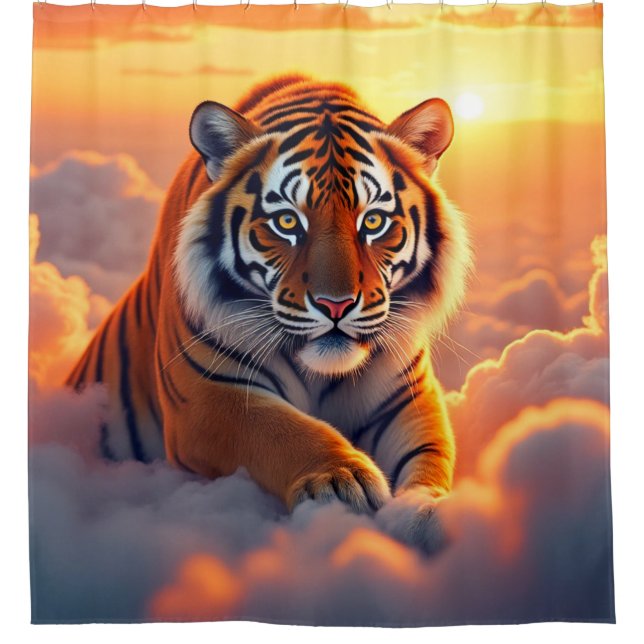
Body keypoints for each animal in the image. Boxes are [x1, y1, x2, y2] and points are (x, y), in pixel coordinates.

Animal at [67, 75, 470, 516]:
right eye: (287, 222)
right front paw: (343, 481)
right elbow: (282, 431)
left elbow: (430, 455)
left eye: (374, 222)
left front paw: (423, 510)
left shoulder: (409, 397)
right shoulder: (207, 398)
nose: (336, 305)